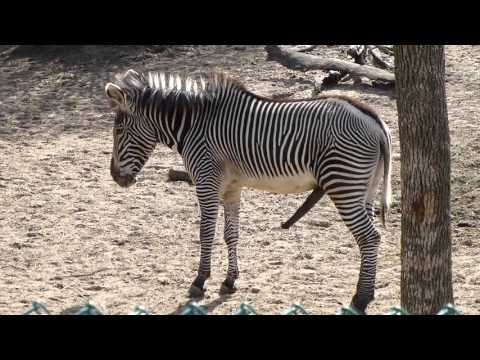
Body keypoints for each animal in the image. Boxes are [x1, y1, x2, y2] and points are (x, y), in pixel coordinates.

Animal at [107, 69, 392, 314]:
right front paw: (229, 281)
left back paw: (360, 299)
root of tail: (375, 120)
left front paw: (200, 280)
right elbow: (230, 234)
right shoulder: (232, 187)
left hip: (343, 183)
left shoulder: (206, 181)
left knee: (369, 237)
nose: (115, 177)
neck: (194, 125)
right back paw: (368, 293)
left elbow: (206, 232)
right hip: (364, 188)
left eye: (119, 130)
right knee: (370, 239)